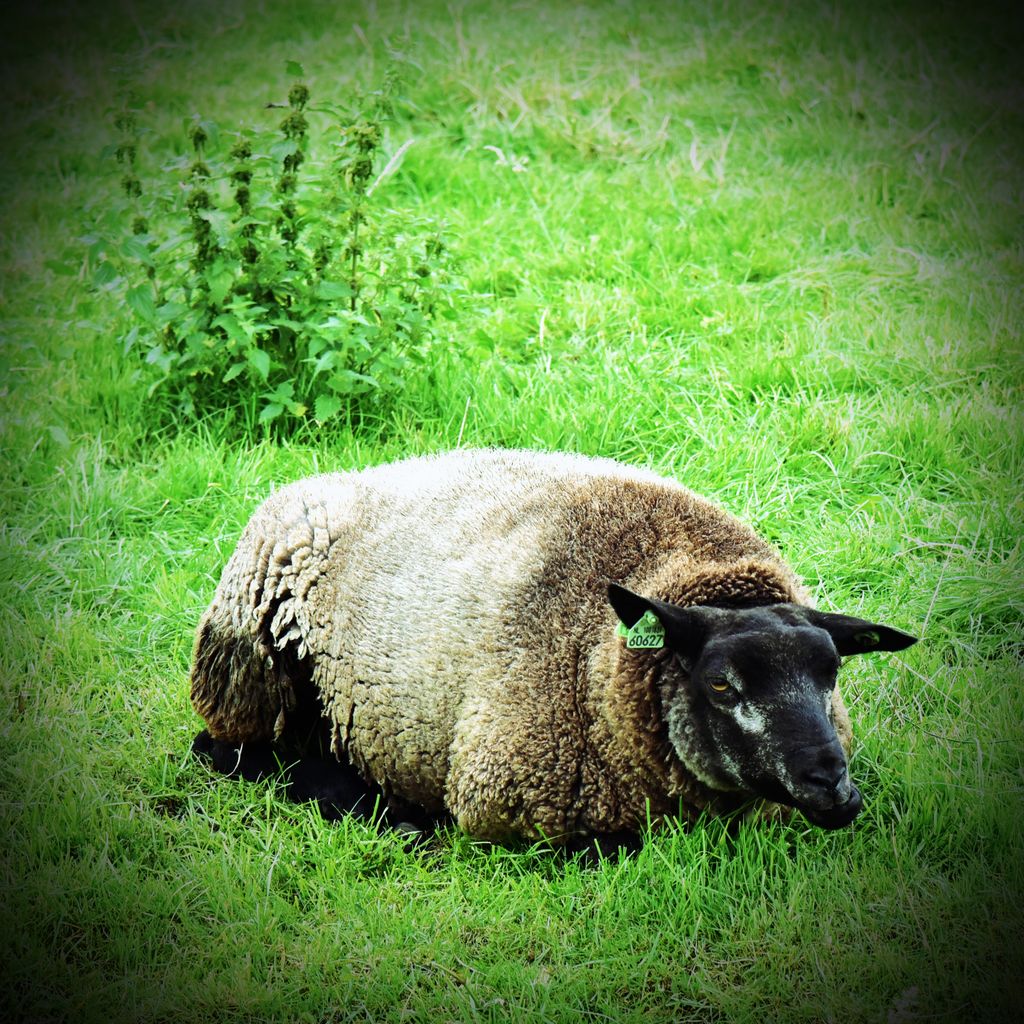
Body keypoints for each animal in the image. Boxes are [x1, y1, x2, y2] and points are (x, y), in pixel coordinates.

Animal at [188, 448, 917, 839]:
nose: (832, 786)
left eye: (832, 674)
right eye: (720, 683)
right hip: (246, 671)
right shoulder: (509, 801)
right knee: (234, 752)